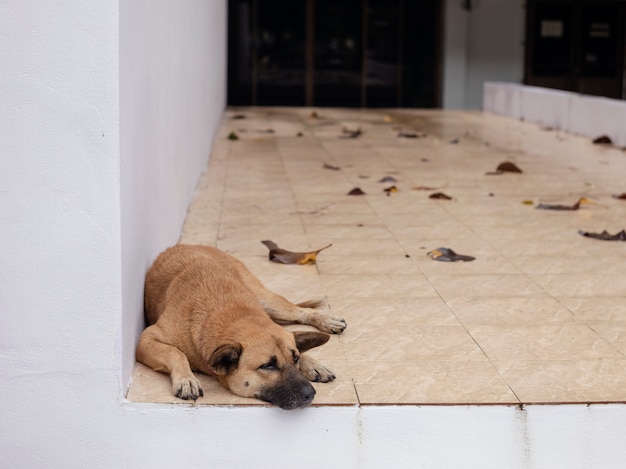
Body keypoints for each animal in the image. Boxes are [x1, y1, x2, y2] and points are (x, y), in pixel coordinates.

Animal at [135, 243, 346, 408]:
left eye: (294, 358)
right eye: (267, 366)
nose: (311, 394)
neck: (229, 311)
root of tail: (190, 245)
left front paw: (309, 361)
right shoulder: (146, 339)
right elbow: (176, 352)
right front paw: (186, 379)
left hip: (266, 299)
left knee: (300, 312)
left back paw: (325, 324)